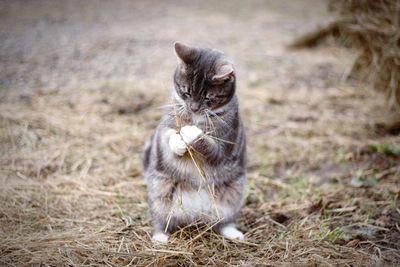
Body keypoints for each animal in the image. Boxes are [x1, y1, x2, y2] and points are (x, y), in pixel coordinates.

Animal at [142, 42, 245, 245]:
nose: (194, 108)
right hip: (159, 194)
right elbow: (168, 136)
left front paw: (192, 133)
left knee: (224, 222)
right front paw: (179, 142)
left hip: (233, 195)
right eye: (186, 91)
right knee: (161, 220)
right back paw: (160, 237)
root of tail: (195, 215)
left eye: (208, 98)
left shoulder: (224, 144)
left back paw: (233, 233)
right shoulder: (165, 127)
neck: (196, 117)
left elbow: (210, 145)